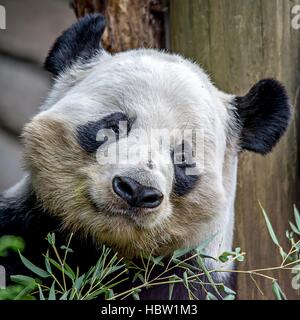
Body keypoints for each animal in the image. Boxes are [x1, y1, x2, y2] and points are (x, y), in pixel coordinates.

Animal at [0, 14, 290, 300]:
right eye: (114, 127)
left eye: (183, 158)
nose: (136, 190)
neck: (107, 252)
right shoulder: (27, 227)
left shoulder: (192, 275)